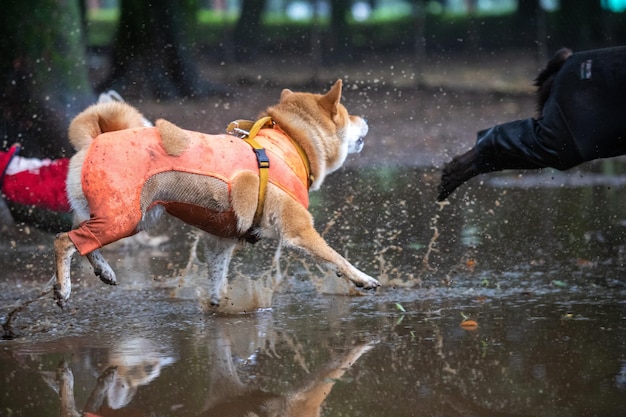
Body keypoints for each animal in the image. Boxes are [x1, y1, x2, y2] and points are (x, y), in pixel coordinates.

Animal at [52, 79, 380, 308]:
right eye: (348, 114)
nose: (366, 120)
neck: (291, 142)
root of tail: (93, 141)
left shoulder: (219, 241)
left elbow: (218, 280)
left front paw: (219, 306)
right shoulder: (299, 231)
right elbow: (337, 258)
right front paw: (363, 279)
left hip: (130, 217)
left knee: (82, 238)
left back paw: (104, 270)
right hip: (123, 217)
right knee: (65, 240)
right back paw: (64, 288)